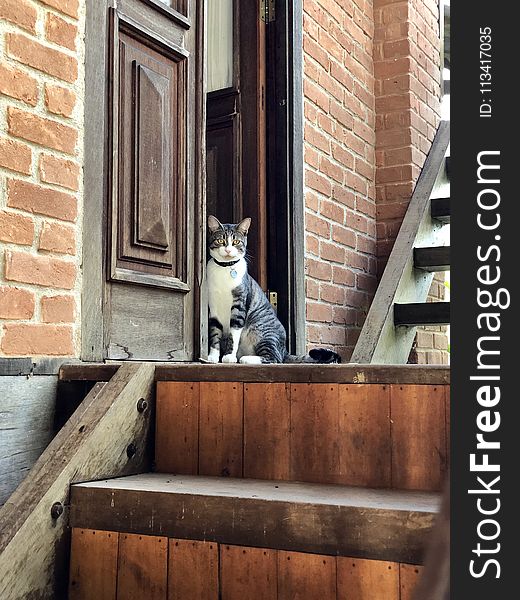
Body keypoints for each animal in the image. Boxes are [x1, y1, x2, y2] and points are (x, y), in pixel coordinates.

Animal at [207, 216, 342, 366]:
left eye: (236, 241)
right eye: (220, 240)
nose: (228, 250)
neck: (224, 269)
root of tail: (284, 350)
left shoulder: (239, 306)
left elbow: (233, 333)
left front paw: (229, 356)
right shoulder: (213, 308)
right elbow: (214, 334)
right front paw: (212, 357)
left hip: (262, 331)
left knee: (275, 358)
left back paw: (246, 359)